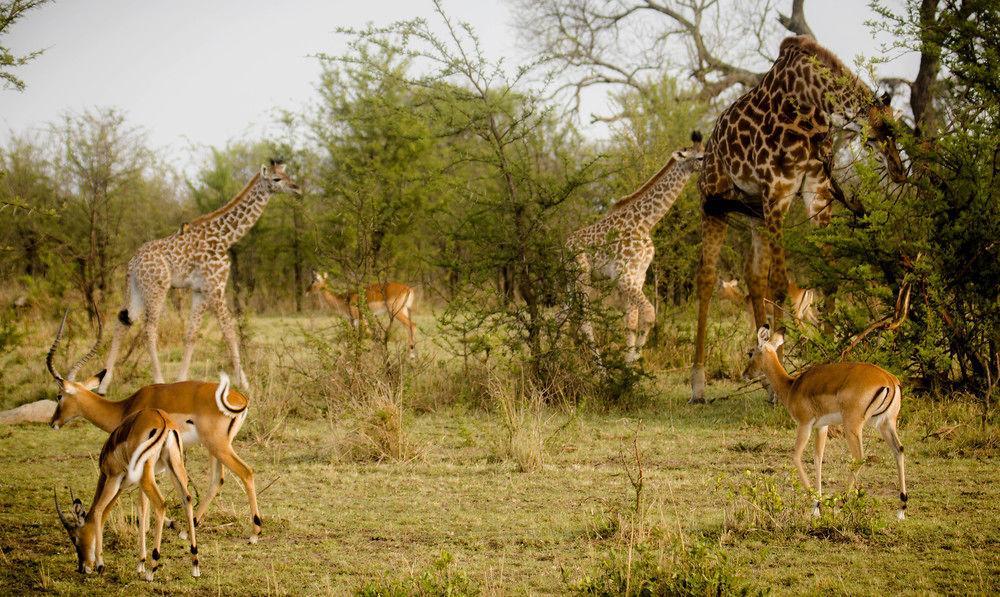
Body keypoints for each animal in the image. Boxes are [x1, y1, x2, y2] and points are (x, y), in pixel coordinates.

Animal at [97, 158, 300, 394]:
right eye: (276, 179)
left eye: (287, 176)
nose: (297, 188)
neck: (226, 238)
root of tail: (133, 262)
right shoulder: (216, 286)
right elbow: (229, 331)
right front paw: (246, 384)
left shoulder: (200, 291)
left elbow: (191, 334)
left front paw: (181, 380)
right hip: (157, 288)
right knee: (149, 329)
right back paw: (158, 380)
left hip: (137, 289)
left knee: (122, 323)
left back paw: (103, 385)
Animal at [568, 132, 708, 360]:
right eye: (700, 157)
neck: (645, 223)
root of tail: (564, 245)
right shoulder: (623, 275)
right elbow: (650, 315)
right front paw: (632, 359)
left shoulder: (638, 276)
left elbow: (632, 322)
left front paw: (629, 361)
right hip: (582, 276)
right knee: (583, 317)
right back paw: (597, 364)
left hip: (572, 280)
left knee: (564, 312)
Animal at [688, 35, 908, 402]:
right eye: (872, 137)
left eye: (898, 133)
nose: (899, 172)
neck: (807, 105)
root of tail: (710, 142)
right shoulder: (778, 192)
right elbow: (779, 284)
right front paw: (782, 376)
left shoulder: (816, 191)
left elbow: (828, 277)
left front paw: (828, 358)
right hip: (713, 201)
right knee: (706, 277)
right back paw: (698, 384)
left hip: (754, 210)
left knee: (753, 276)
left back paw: (762, 379)